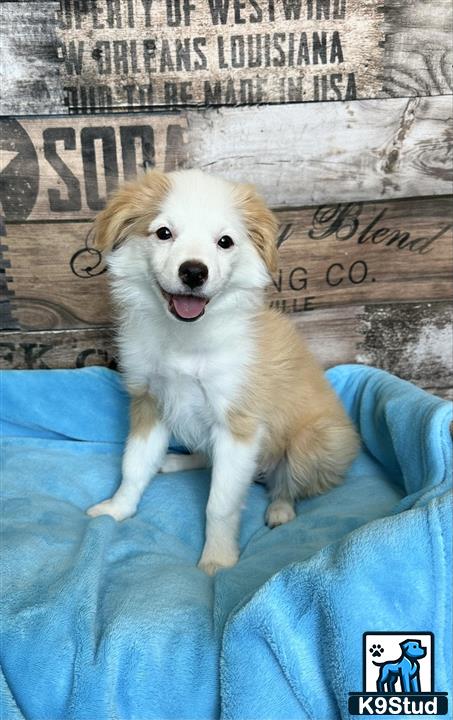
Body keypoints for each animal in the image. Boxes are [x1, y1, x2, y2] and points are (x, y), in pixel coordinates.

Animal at [86, 167, 358, 572]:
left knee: (288, 484)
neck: (185, 338)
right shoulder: (150, 402)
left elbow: (221, 504)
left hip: (315, 442)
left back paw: (280, 511)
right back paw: (174, 461)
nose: (193, 272)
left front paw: (217, 560)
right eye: (164, 233)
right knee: (207, 456)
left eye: (225, 242)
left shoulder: (238, 425)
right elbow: (133, 467)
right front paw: (117, 509)